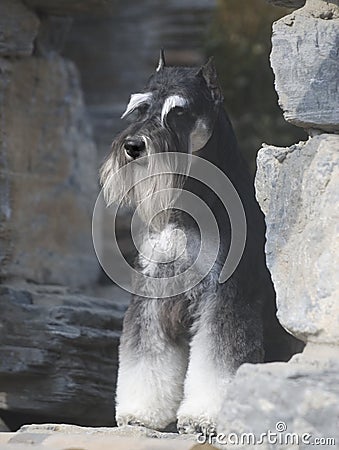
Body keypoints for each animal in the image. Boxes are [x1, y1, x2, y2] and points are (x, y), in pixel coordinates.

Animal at [100, 51, 300, 434]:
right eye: (141, 107)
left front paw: (202, 417)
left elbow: (217, 359)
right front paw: (140, 412)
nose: (133, 147)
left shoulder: (226, 296)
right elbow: (146, 352)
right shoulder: (153, 293)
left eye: (178, 111)